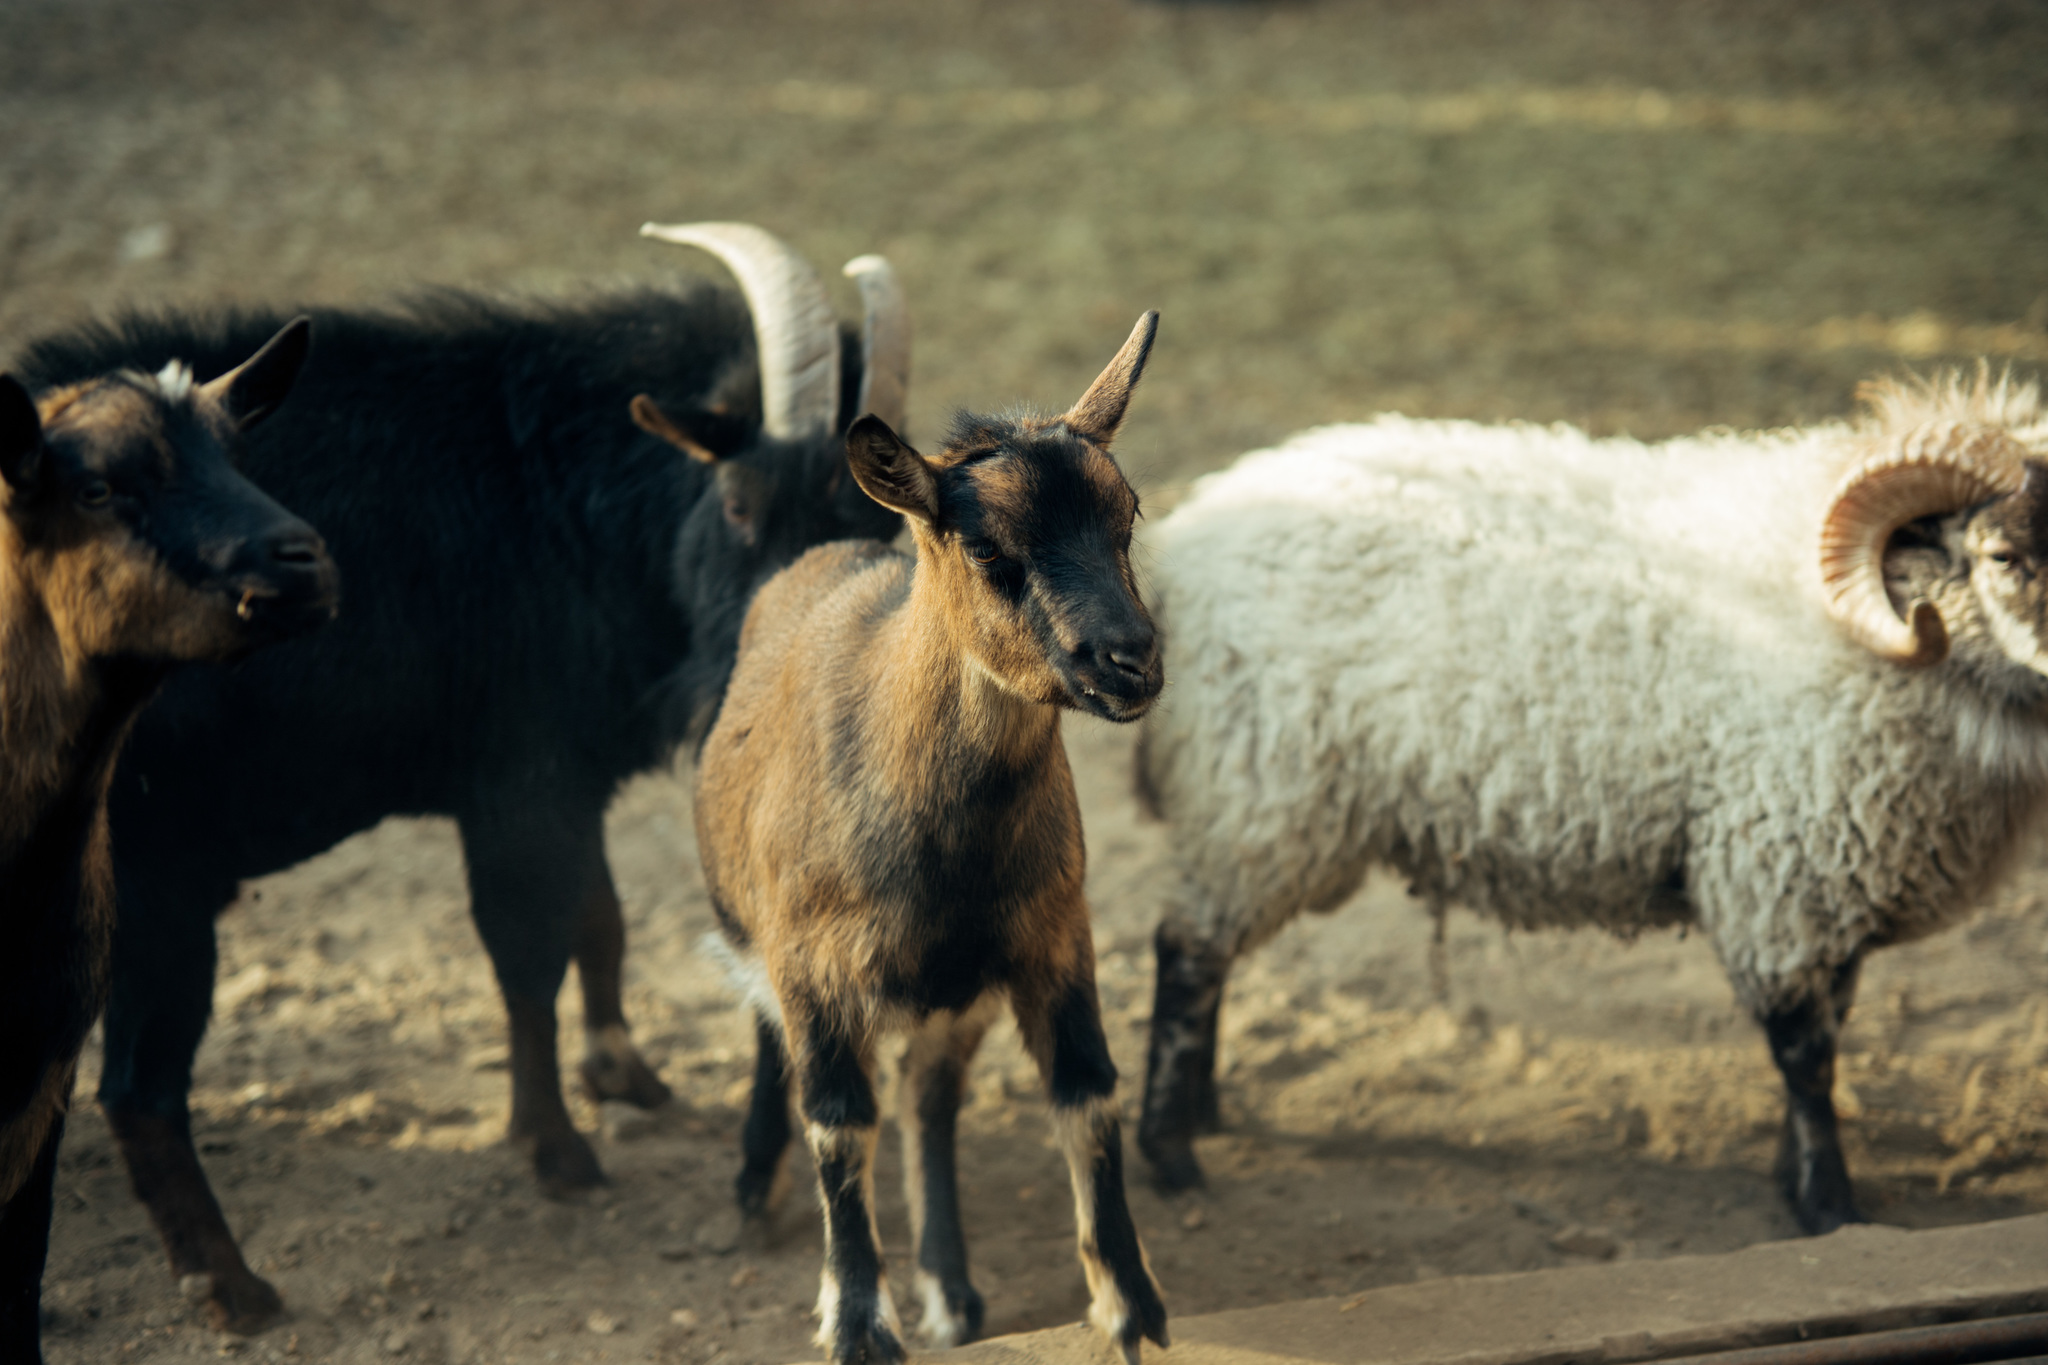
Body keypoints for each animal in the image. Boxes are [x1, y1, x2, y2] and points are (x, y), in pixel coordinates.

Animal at [692, 313, 1163, 1365]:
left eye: (1128, 515)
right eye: (988, 548)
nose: (1132, 661)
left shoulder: (1051, 939)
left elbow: (1087, 1094)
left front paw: (1133, 1308)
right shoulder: (814, 968)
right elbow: (837, 1123)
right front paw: (858, 1323)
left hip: (955, 994)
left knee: (929, 1098)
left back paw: (952, 1288)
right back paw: (755, 1192)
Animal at [1130, 368, 2048, 1236]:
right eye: (2003, 555)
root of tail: (1190, 535)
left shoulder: (1832, 882)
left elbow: (1833, 1028)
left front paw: (1794, 1176)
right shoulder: (1777, 878)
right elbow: (1807, 1055)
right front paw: (1828, 1207)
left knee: (1208, 956)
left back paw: (1203, 1114)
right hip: (1257, 796)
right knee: (1186, 953)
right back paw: (1170, 1152)